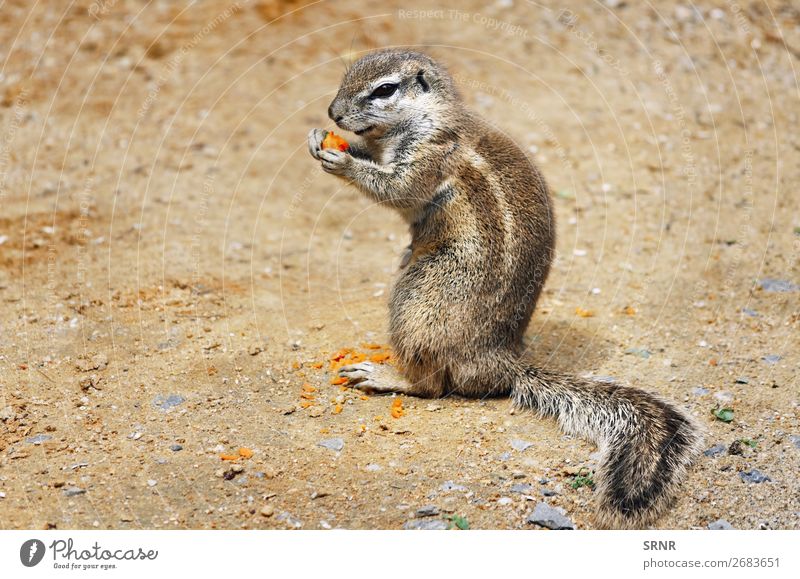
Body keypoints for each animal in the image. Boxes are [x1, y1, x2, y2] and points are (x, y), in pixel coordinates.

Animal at [310, 49, 704, 532]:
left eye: (384, 90)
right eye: (347, 74)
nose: (333, 114)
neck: (424, 118)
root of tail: (500, 359)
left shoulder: (430, 156)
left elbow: (397, 188)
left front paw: (342, 161)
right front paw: (320, 138)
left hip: (419, 300)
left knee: (431, 384)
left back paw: (384, 375)